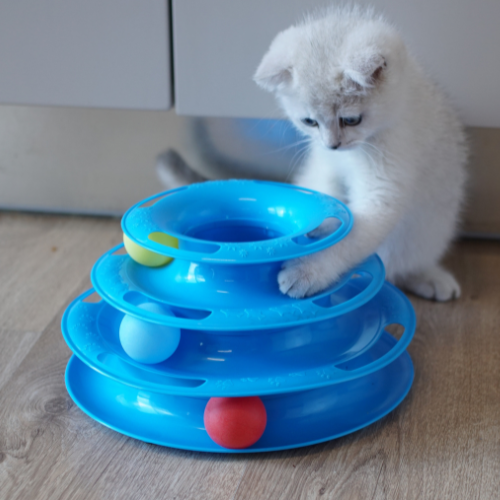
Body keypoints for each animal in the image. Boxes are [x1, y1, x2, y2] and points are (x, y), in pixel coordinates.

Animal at [254, 4, 468, 300]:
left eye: (351, 120)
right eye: (309, 122)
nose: (332, 145)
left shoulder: (386, 181)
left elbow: (351, 239)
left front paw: (307, 272)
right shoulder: (325, 165)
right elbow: (329, 197)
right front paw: (317, 226)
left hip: (428, 231)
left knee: (405, 262)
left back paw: (429, 278)